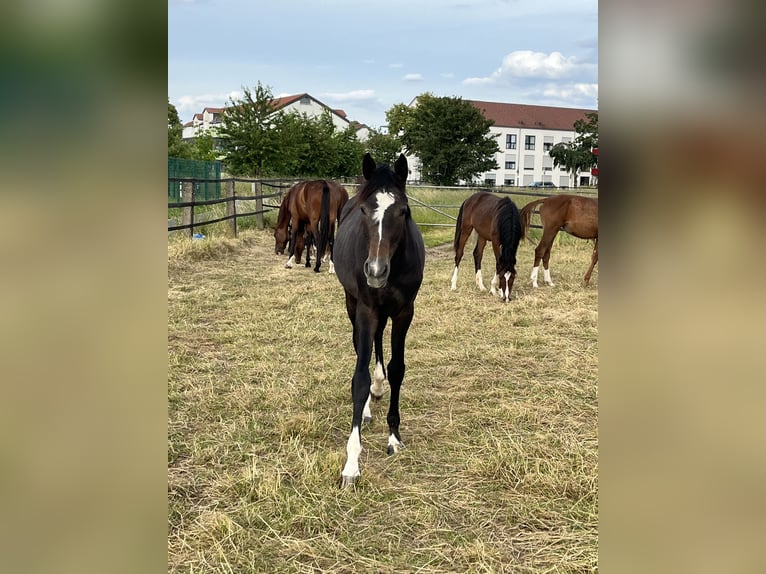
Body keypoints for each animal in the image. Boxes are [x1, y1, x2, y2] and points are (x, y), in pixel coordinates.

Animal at [334, 153, 426, 490]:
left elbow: (397, 369)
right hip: (353, 305)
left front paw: (394, 437)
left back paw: (379, 386)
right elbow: (358, 379)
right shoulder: (365, 310)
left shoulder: (404, 312)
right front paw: (351, 463)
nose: (375, 271)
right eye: (364, 210)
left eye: (403, 211)